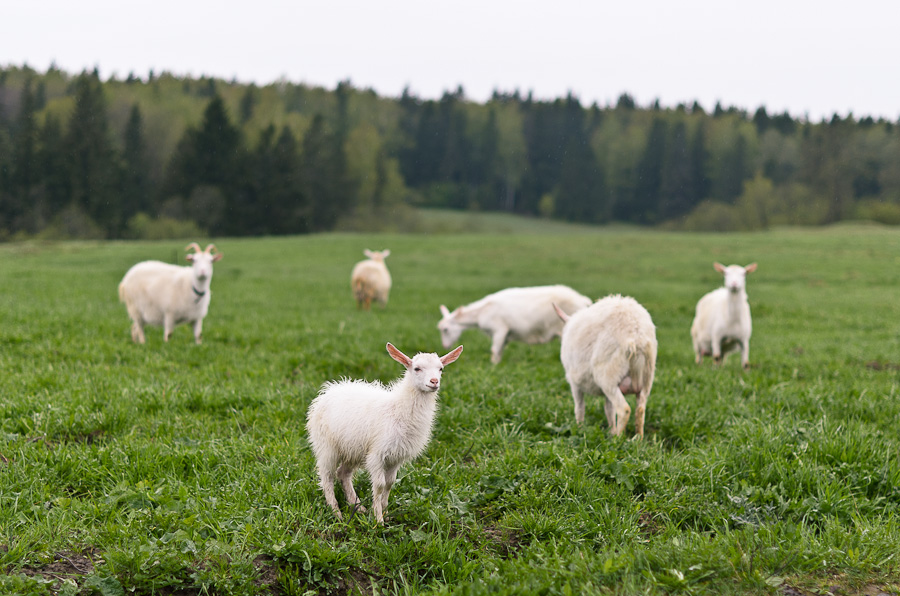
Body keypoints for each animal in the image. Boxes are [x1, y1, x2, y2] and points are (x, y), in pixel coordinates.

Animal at [308, 342, 464, 524]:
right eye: (417, 368)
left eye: (441, 369)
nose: (434, 382)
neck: (398, 408)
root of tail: (329, 390)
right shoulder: (377, 454)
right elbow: (380, 485)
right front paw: (378, 520)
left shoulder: (396, 456)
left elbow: (389, 483)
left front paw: (386, 512)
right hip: (327, 447)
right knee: (327, 476)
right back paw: (336, 512)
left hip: (353, 449)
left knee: (343, 473)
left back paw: (357, 506)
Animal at [440, 286, 596, 364]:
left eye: (446, 330)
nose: (445, 347)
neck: (481, 312)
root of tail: (583, 300)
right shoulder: (505, 334)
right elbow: (500, 350)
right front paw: (497, 365)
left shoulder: (500, 329)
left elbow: (494, 350)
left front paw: (493, 365)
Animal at [552, 294, 656, 438]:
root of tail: (636, 337)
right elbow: (608, 409)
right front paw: (611, 430)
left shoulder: (574, 383)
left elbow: (579, 407)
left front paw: (579, 429)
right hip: (646, 378)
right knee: (640, 409)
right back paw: (637, 439)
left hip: (607, 375)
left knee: (624, 409)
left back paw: (618, 439)